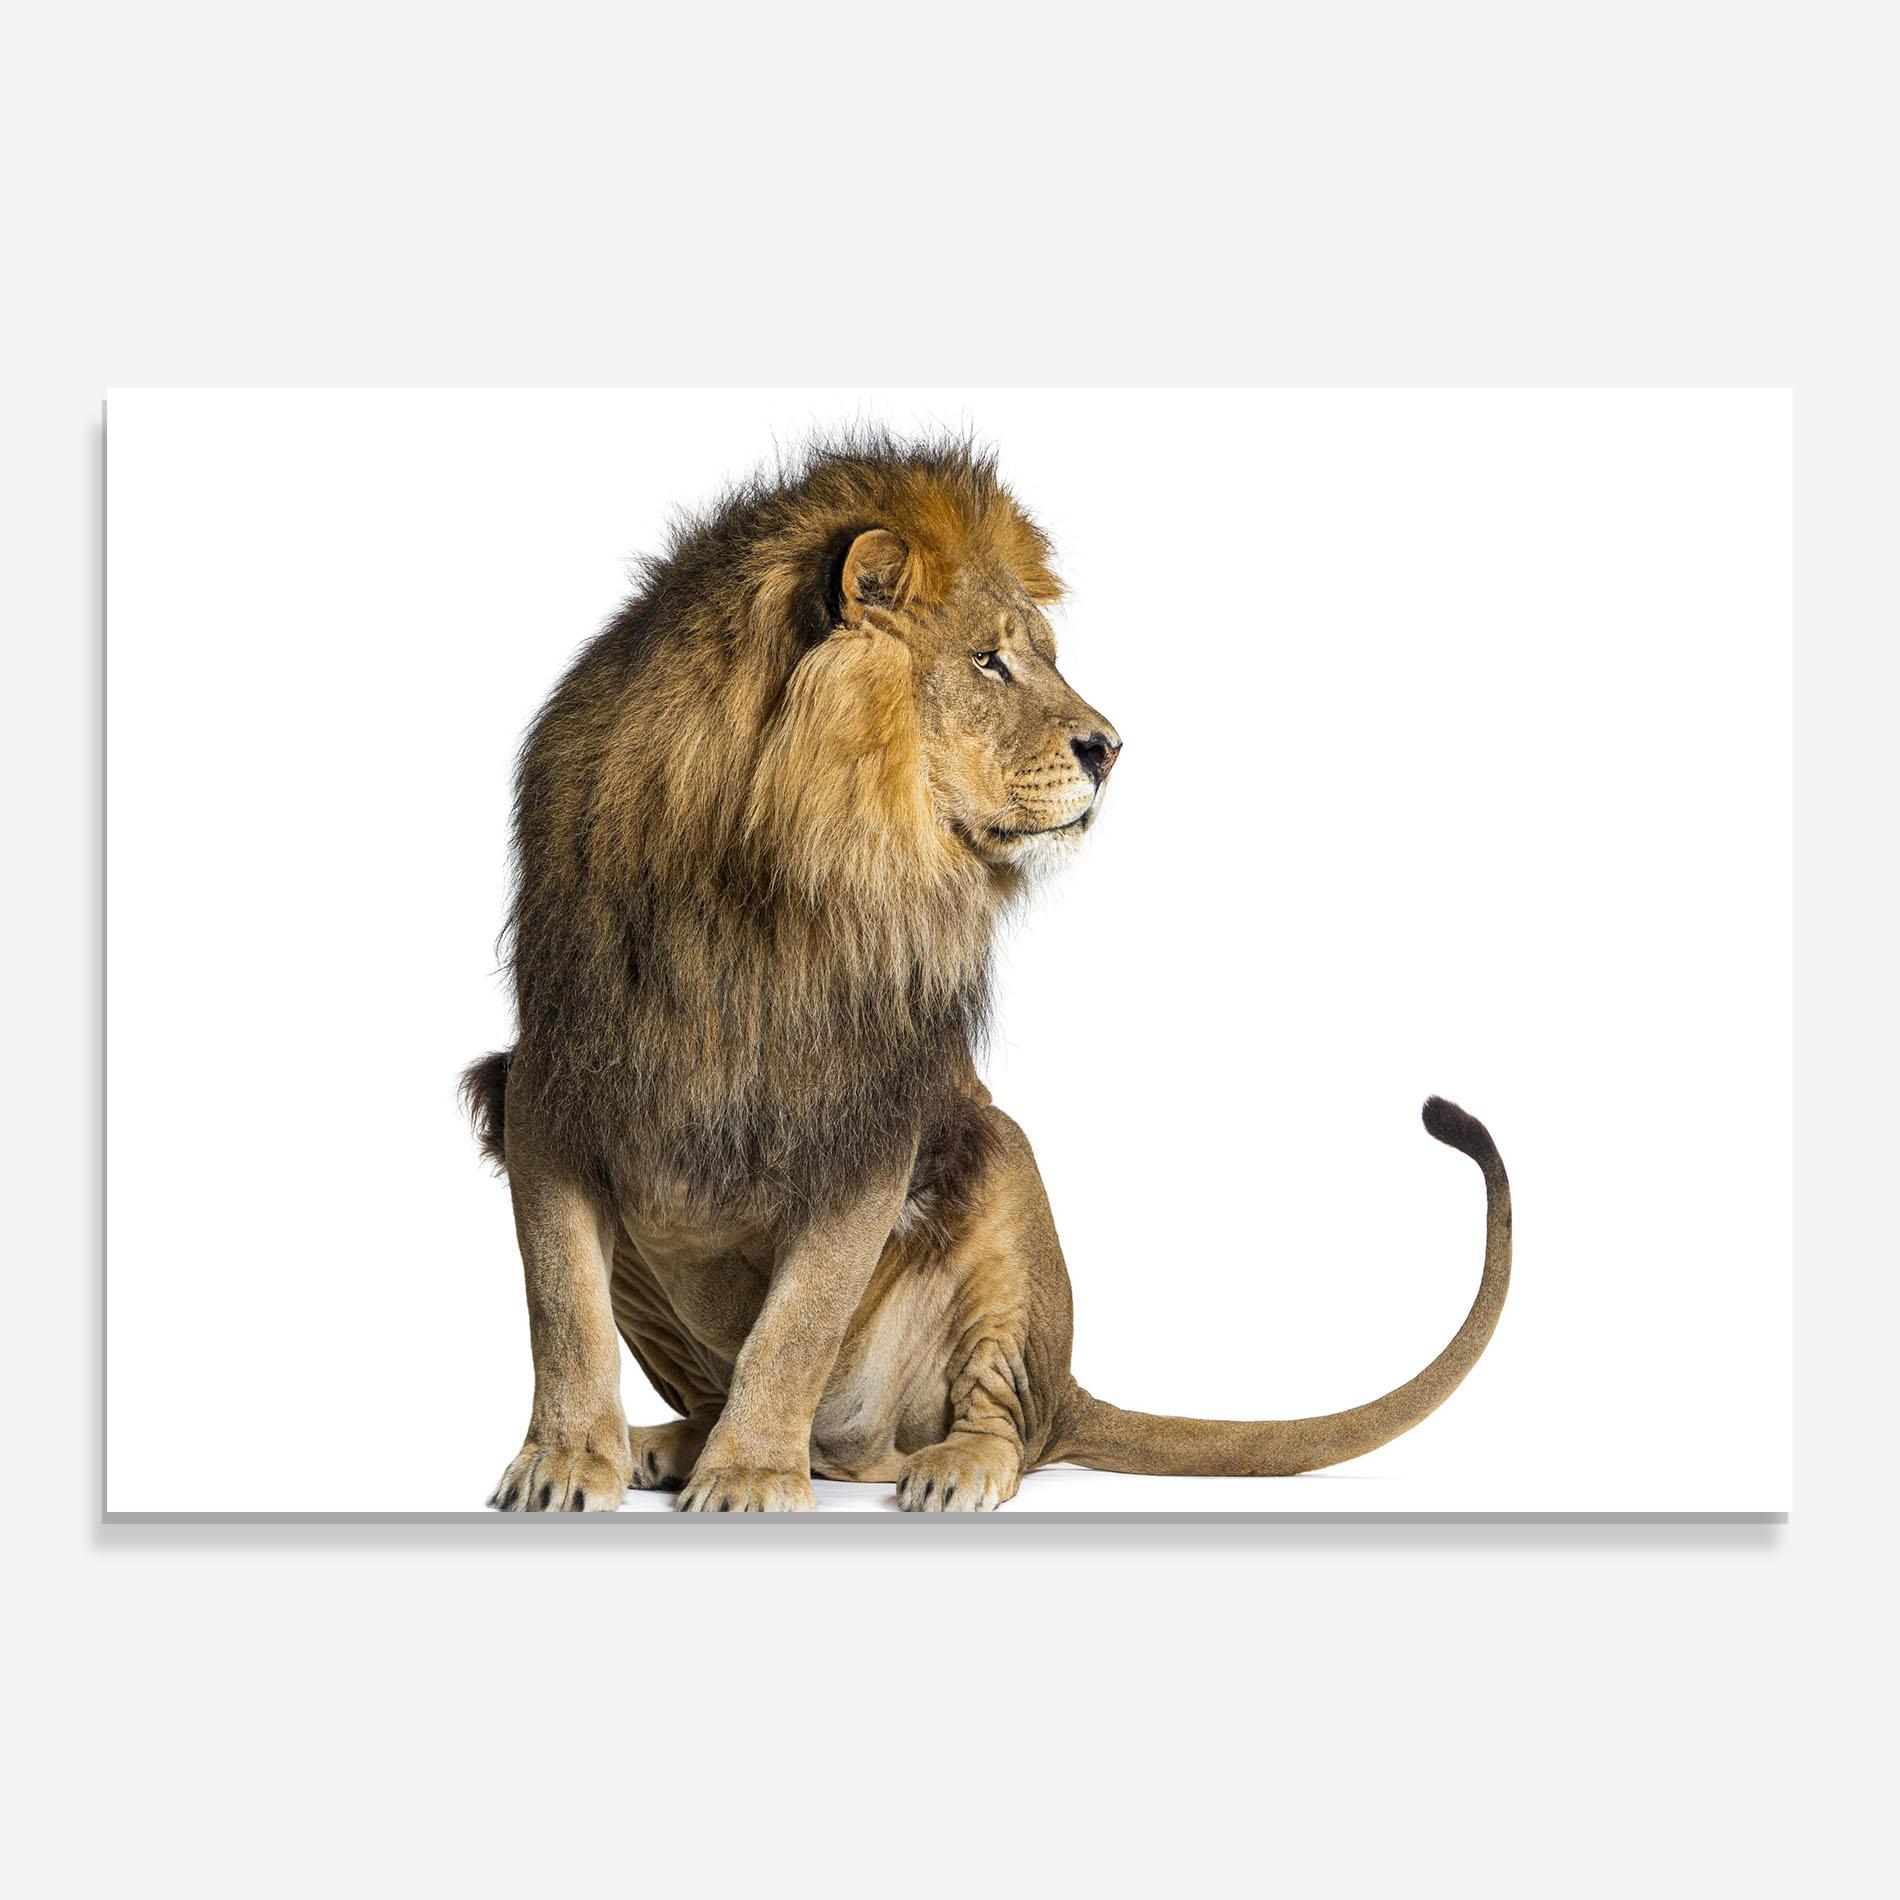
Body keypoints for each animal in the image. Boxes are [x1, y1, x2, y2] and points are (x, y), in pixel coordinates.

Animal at [465, 433, 1511, 1512]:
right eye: (988, 660)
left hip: (1000, 1172)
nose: (1112, 749)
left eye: (1041, 656)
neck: (762, 876)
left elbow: (795, 1325)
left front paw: (751, 1472)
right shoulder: (548, 1080)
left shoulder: (872, 1117)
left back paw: (944, 1464)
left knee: (999, 1418)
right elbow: (563, 1305)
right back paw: (672, 1442)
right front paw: (566, 1459)